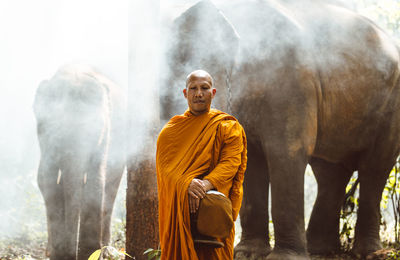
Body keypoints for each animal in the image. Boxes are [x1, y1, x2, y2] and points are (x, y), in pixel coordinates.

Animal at [33, 65, 126, 260]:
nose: (69, 254)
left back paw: (106, 250)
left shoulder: (105, 137)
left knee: (110, 189)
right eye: (56, 127)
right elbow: (45, 179)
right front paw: (57, 253)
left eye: (95, 129)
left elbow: (96, 181)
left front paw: (90, 253)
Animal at [160, 1, 400, 258]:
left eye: (204, 87)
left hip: (391, 107)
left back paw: (366, 253)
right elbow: (250, 160)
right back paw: (319, 249)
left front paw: (283, 256)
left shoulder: (291, 83)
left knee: (374, 169)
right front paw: (247, 254)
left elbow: (286, 152)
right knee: (330, 172)